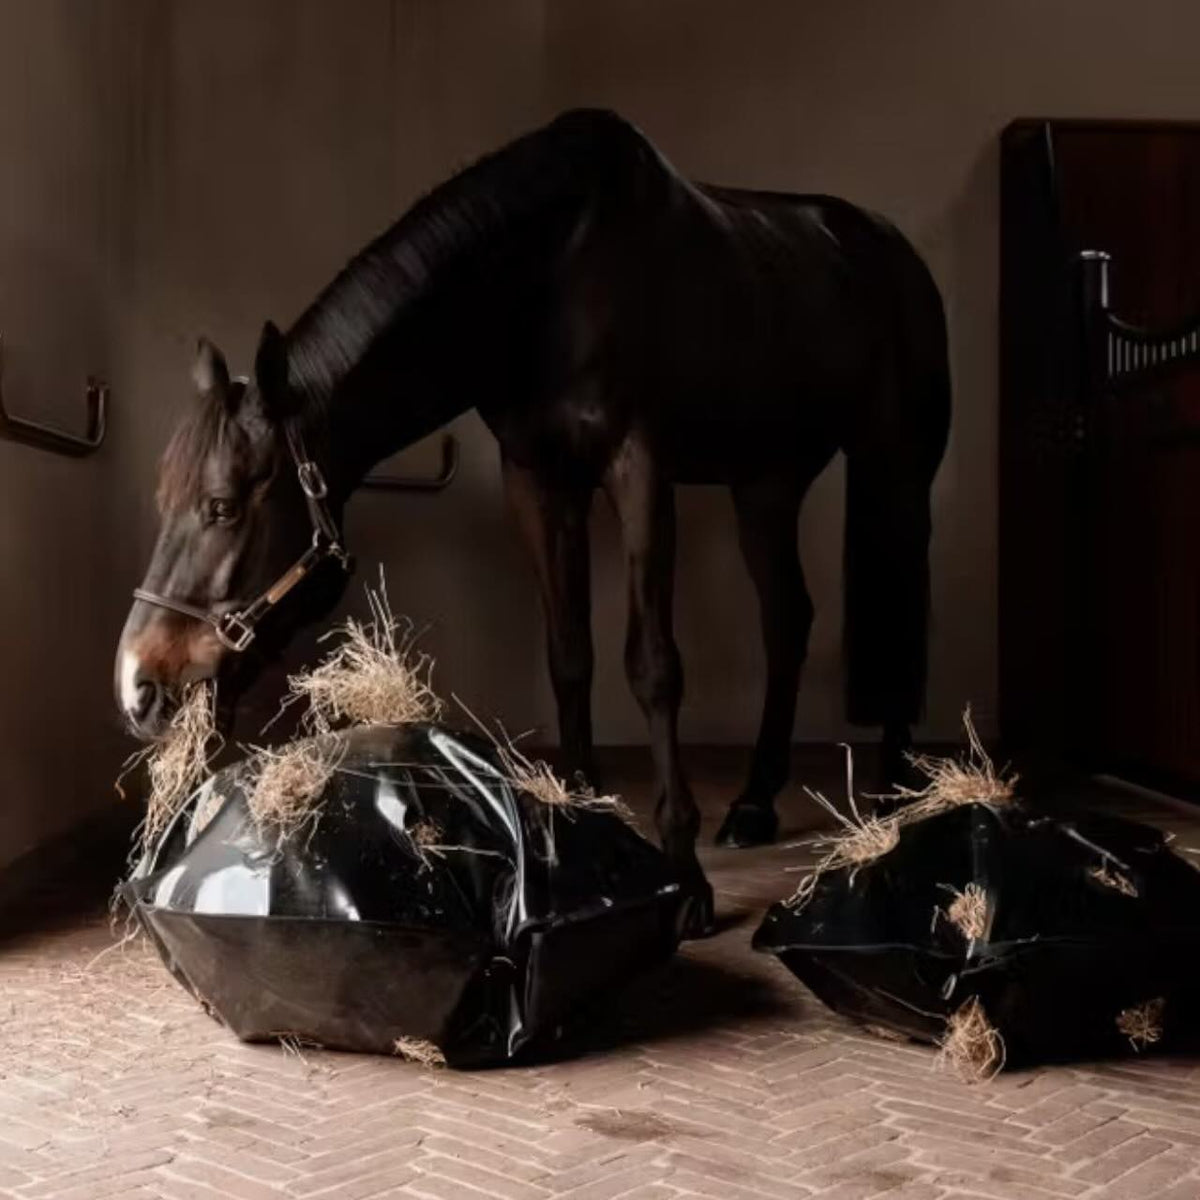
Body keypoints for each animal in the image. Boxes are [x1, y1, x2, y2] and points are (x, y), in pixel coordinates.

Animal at [116, 108, 950, 937]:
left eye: (223, 506)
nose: (138, 688)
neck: (547, 279)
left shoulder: (639, 469)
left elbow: (652, 665)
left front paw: (686, 878)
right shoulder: (538, 480)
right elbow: (569, 654)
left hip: (897, 470)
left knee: (902, 604)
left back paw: (899, 795)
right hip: (765, 484)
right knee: (788, 620)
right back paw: (753, 802)